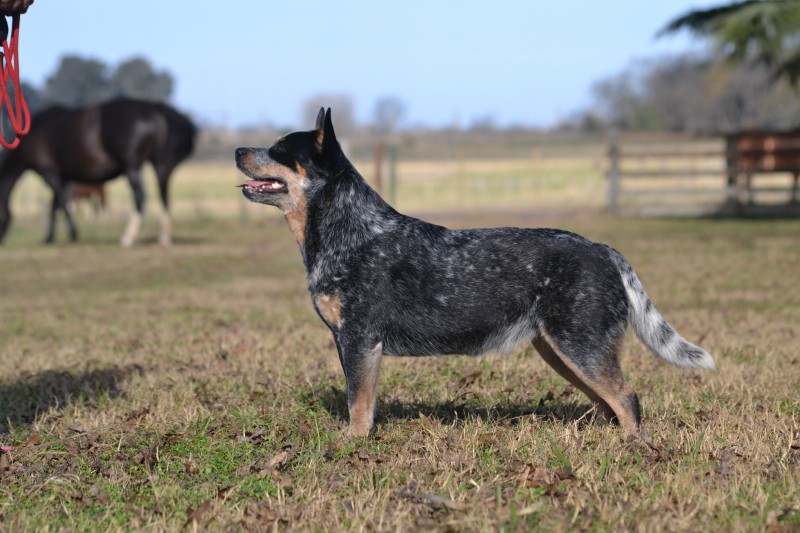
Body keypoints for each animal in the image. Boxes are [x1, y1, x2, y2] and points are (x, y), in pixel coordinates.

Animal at [0, 97, 196, 245]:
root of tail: (155, 109)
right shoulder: (62, 177)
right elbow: (55, 205)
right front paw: (51, 237)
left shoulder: (49, 173)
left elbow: (60, 203)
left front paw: (71, 234)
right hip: (160, 165)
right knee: (164, 195)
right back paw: (164, 237)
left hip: (132, 167)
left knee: (140, 196)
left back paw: (128, 237)